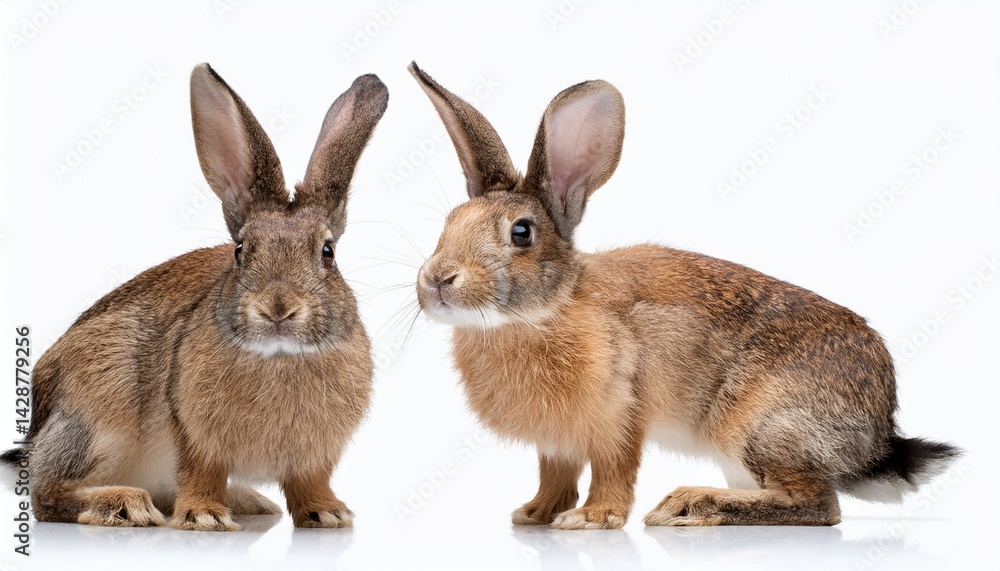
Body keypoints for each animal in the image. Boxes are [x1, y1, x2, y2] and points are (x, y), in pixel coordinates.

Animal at [0, 63, 386, 531]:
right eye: (240, 249)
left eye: (327, 252)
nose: (277, 307)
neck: (279, 356)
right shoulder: (193, 434)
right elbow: (200, 471)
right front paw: (205, 517)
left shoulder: (314, 457)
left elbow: (309, 481)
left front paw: (327, 513)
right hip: (98, 411)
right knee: (46, 495)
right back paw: (125, 503)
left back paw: (250, 500)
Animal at [407, 62, 960, 529]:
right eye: (450, 223)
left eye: (521, 233)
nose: (438, 279)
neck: (548, 309)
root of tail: (877, 436)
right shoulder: (557, 442)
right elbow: (555, 475)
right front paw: (535, 514)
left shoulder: (620, 414)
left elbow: (614, 469)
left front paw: (592, 519)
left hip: (763, 429)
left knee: (819, 505)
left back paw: (690, 505)